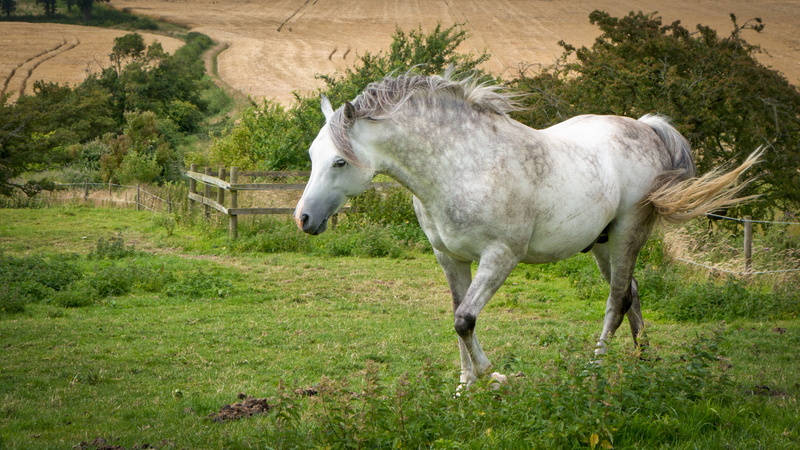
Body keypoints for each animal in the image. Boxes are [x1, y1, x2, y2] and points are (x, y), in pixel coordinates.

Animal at [293, 73, 760, 387]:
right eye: (313, 155)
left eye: (339, 161)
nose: (303, 219)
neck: (462, 167)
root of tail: (645, 126)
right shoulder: (450, 258)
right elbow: (457, 318)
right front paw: (465, 388)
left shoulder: (500, 257)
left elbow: (465, 319)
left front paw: (493, 378)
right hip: (603, 244)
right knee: (632, 293)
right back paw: (644, 363)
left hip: (629, 234)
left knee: (616, 301)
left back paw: (594, 370)